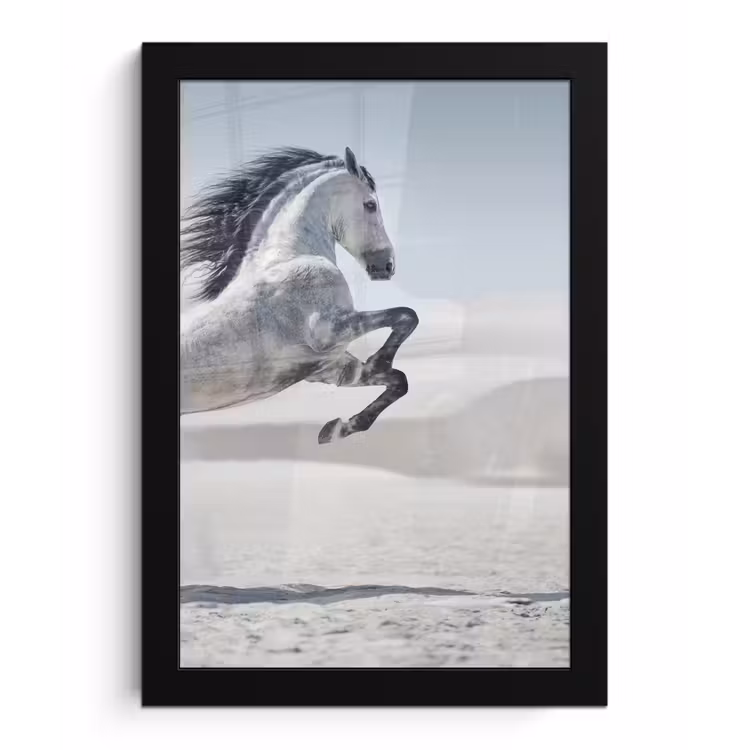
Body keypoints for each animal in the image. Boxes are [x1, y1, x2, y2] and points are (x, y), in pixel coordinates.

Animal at [180, 146, 420, 444]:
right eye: (370, 205)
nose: (386, 266)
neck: (291, 256)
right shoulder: (328, 330)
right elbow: (406, 315)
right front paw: (379, 361)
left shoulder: (331, 367)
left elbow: (399, 380)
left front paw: (336, 430)